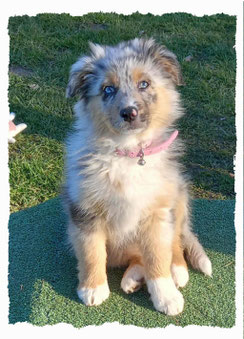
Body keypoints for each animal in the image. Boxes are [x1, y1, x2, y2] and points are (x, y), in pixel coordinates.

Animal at [63, 38, 212, 318]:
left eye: (144, 84)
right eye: (108, 89)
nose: (129, 113)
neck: (129, 153)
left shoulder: (158, 214)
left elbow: (158, 257)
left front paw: (166, 296)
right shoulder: (85, 212)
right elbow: (91, 252)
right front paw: (93, 288)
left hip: (178, 199)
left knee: (175, 243)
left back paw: (177, 272)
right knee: (138, 259)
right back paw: (132, 279)